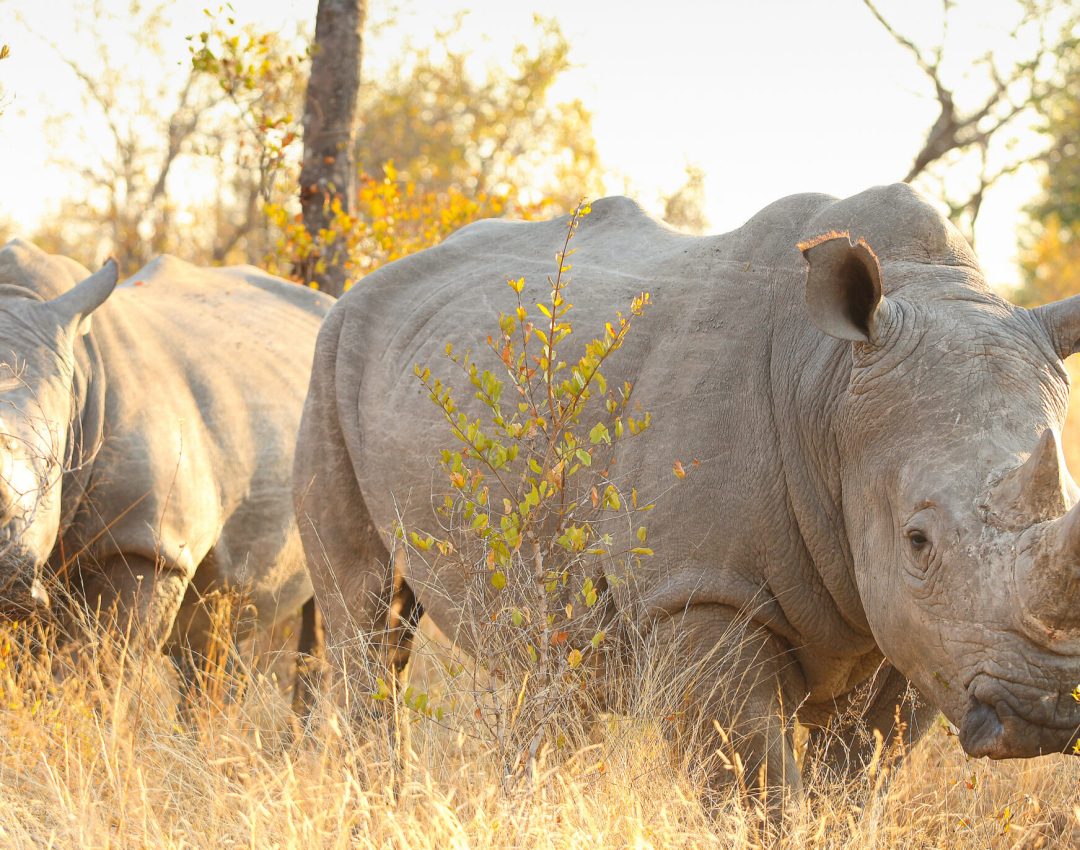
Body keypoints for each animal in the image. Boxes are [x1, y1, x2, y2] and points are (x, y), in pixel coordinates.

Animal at [293, 184, 1080, 798]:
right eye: (918, 541)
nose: (1047, 707)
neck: (829, 386)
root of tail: (363, 284)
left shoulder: (925, 634)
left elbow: (856, 783)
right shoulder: (698, 590)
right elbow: (753, 788)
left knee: (552, 666)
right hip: (329, 357)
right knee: (366, 619)